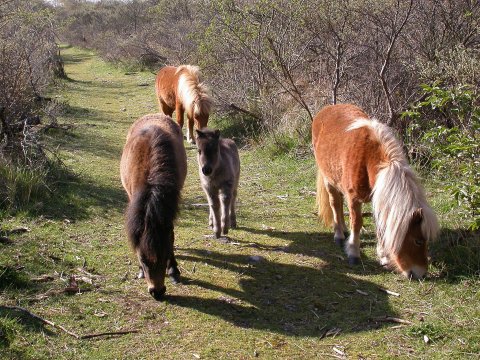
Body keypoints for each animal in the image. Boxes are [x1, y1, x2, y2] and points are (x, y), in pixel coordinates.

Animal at [312, 103, 438, 278]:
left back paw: (343, 229)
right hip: (328, 179)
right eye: (418, 241)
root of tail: (327, 109)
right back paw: (339, 234)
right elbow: (357, 222)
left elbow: (380, 224)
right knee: (335, 204)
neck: (368, 158)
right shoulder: (353, 198)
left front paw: (383, 256)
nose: (421, 274)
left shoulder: (378, 197)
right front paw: (354, 253)